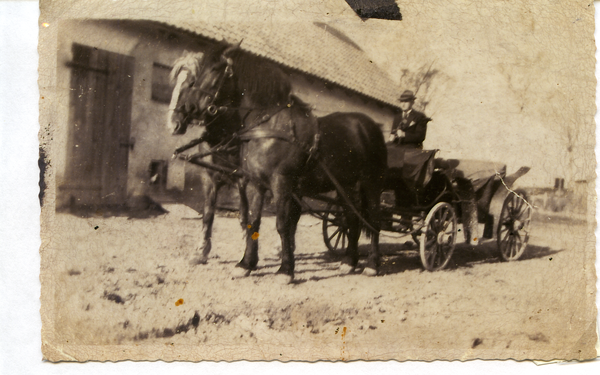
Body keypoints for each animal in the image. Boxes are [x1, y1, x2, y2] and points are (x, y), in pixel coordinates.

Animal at [169, 44, 384, 282]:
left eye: (215, 69)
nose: (186, 109)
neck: (268, 126)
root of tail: (370, 126)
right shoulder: (255, 183)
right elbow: (253, 221)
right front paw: (245, 264)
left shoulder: (281, 182)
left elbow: (282, 224)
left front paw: (285, 270)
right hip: (346, 187)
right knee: (351, 220)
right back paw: (349, 262)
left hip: (372, 184)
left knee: (374, 220)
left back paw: (372, 264)